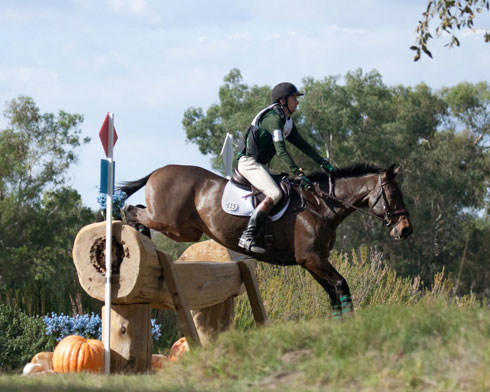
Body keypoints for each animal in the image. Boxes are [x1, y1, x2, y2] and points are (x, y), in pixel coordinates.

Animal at [118, 162, 410, 318]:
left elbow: (333, 291)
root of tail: (158, 171)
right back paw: (132, 242)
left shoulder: (313, 262)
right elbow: (340, 285)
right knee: (132, 211)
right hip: (171, 223)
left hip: (185, 230)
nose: (406, 230)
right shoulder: (313, 259)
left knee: (136, 211)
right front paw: (349, 321)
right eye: (393, 195)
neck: (321, 206)